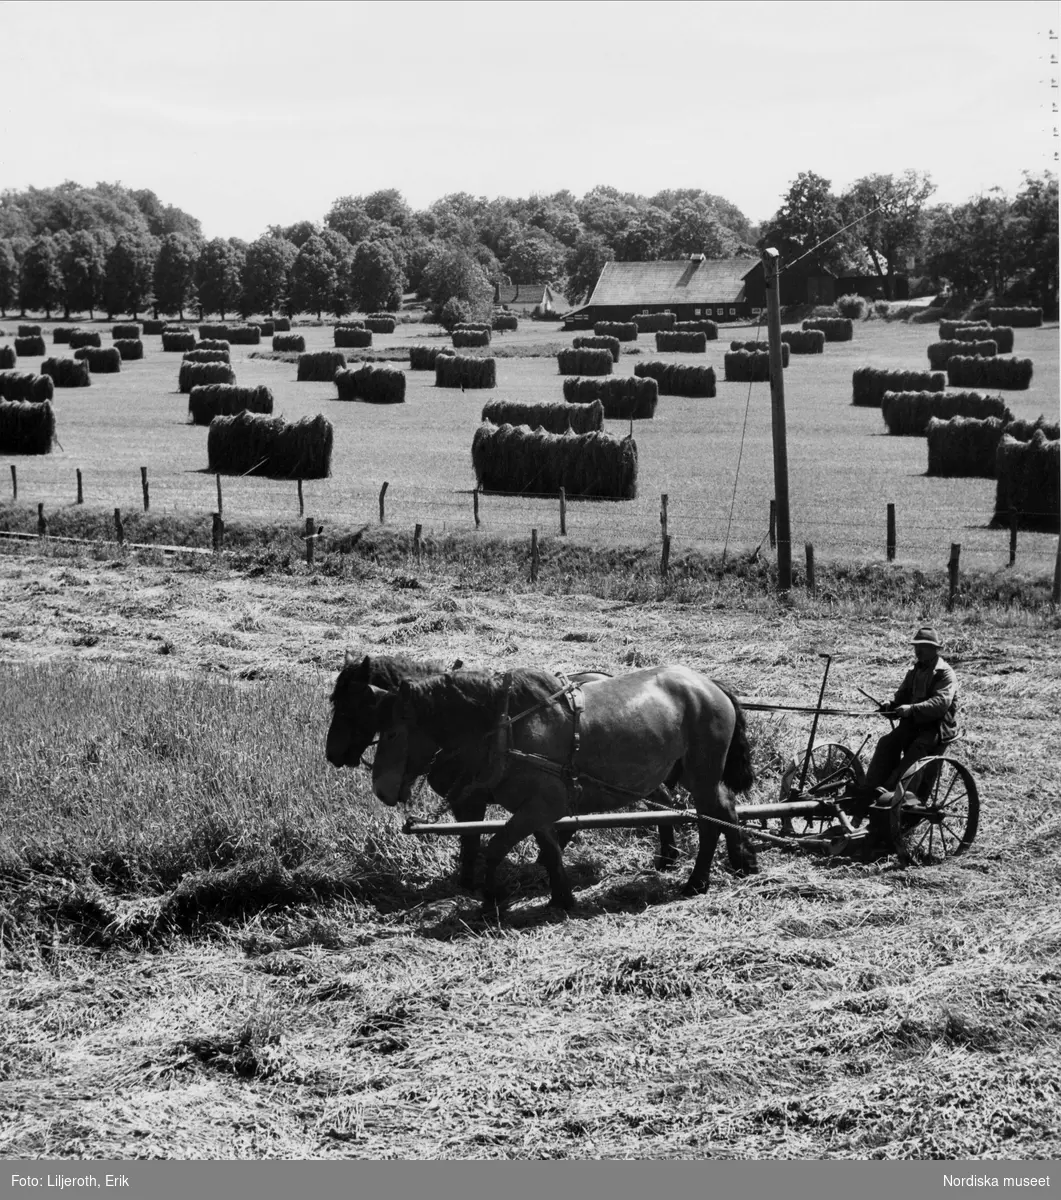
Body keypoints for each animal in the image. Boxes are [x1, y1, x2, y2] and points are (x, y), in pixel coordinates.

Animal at [321, 652, 681, 888]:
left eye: (353, 705)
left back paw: (668, 856)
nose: (332, 753)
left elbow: (470, 840)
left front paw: (468, 883)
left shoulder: (469, 799)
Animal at [369, 667, 758, 907]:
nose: (380, 790)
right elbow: (550, 849)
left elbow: (495, 847)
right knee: (725, 808)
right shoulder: (537, 808)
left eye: (392, 733)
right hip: (695, 774)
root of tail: (709, 685)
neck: (507, 727)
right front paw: (561, 898)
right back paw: (741, 861)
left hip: (702, 774)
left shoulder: (541, 806)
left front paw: (491, 897)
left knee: (709, 822)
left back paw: (697, 881)